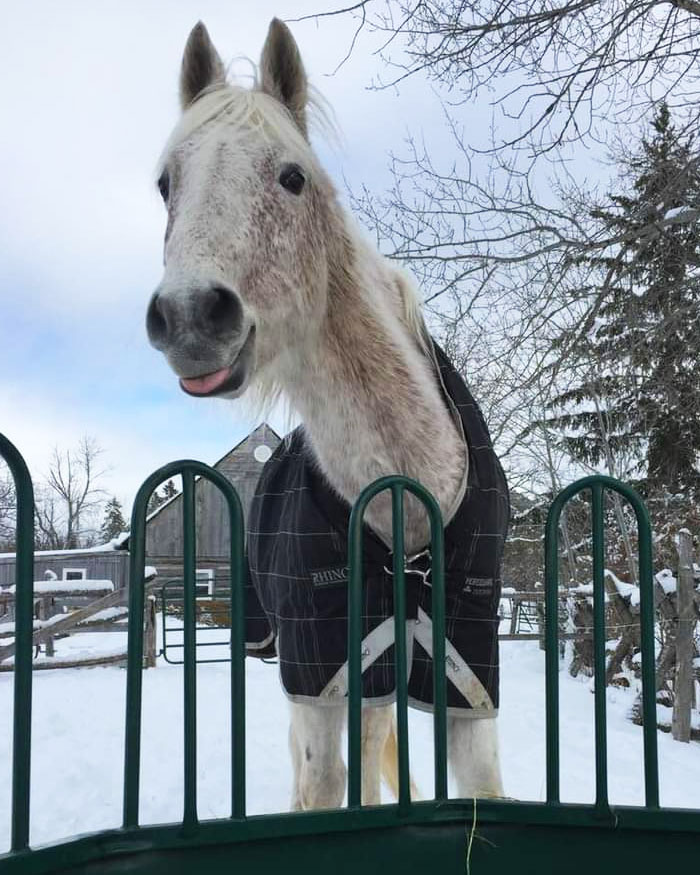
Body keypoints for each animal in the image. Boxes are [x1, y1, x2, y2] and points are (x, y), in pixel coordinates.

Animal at [146, 17, 504, 812]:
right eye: (165, 184)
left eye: (292, 177)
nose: (190, 317)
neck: (408, 526)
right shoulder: (319, 678)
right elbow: (322, 792)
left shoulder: (468, 684)